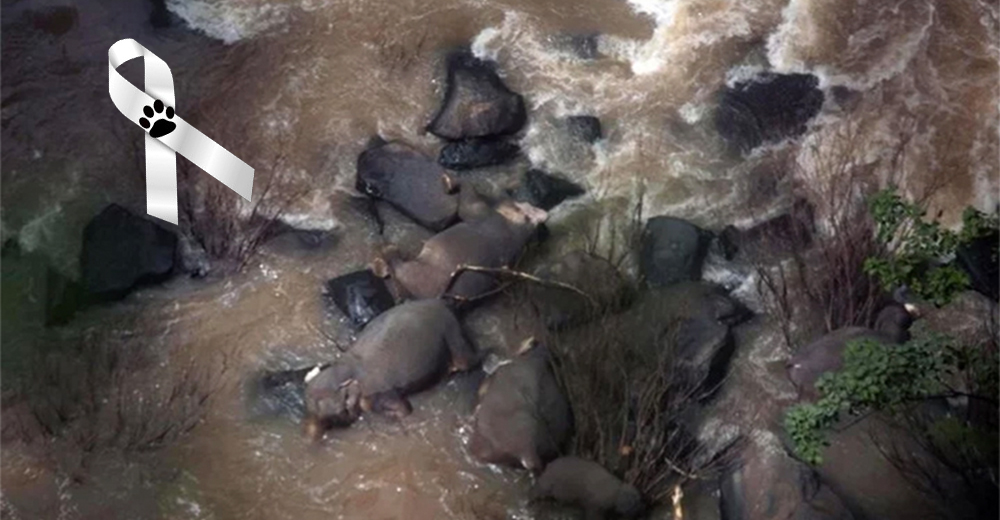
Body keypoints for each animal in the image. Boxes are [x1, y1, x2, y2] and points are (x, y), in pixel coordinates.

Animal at [300, 298, 476, 440]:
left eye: (342, 409)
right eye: (308, 406)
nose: (310, 434)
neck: (348, 369)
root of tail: (447, 304)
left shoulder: (381, 393)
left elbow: (405, 409)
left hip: (454, 336)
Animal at [378, 187, 548, 300]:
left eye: (522, 208)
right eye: (525, 204)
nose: (543, 213)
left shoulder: (480, 213)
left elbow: (467, 202)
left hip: (417, 270)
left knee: (399, 267)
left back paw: (388, 253)